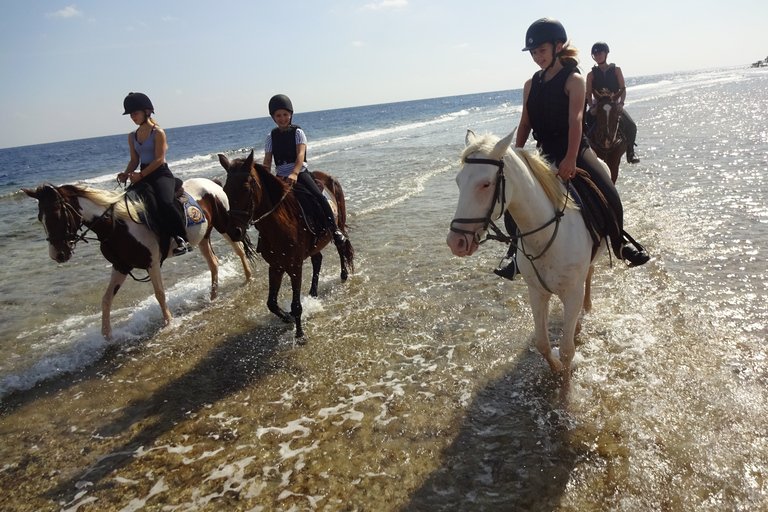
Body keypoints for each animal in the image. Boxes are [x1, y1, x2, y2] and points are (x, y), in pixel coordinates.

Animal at [21, 178, 252, 338]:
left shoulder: (152, 264)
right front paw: (107, 335)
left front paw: (169, 324)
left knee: (240, 249)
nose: (57, 255)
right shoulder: (121, 267)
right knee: (213, 263)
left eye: (57, 215)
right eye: (40, 218)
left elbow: (160, 294)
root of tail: (213, 182)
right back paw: (213, 296)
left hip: (225, 226)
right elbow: (106, 299)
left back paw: (249, 278)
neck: (118, 225)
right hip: (203, 238)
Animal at [216, 152, 354, 344]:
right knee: (317, 259)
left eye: (245, 188)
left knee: (341, 247)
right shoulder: (276, 266)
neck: (279, 224)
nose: (234, 232)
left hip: (338, 224)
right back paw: (313, 293)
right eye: (226, 190)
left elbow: (296, 305)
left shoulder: (295, 267)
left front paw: (300, 334)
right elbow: (271, 303)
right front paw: (287, 318)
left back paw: (343, 275)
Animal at [448, 131, 604, 396]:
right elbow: (542, 344)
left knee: (590, 275)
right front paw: (556, 370)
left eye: (486, 184)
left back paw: (586, 309)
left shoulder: (571, 294)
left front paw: (565, 392)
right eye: (458, 182)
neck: (548, 235)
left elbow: (567, 350)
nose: (455, 241)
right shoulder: (537, 292)